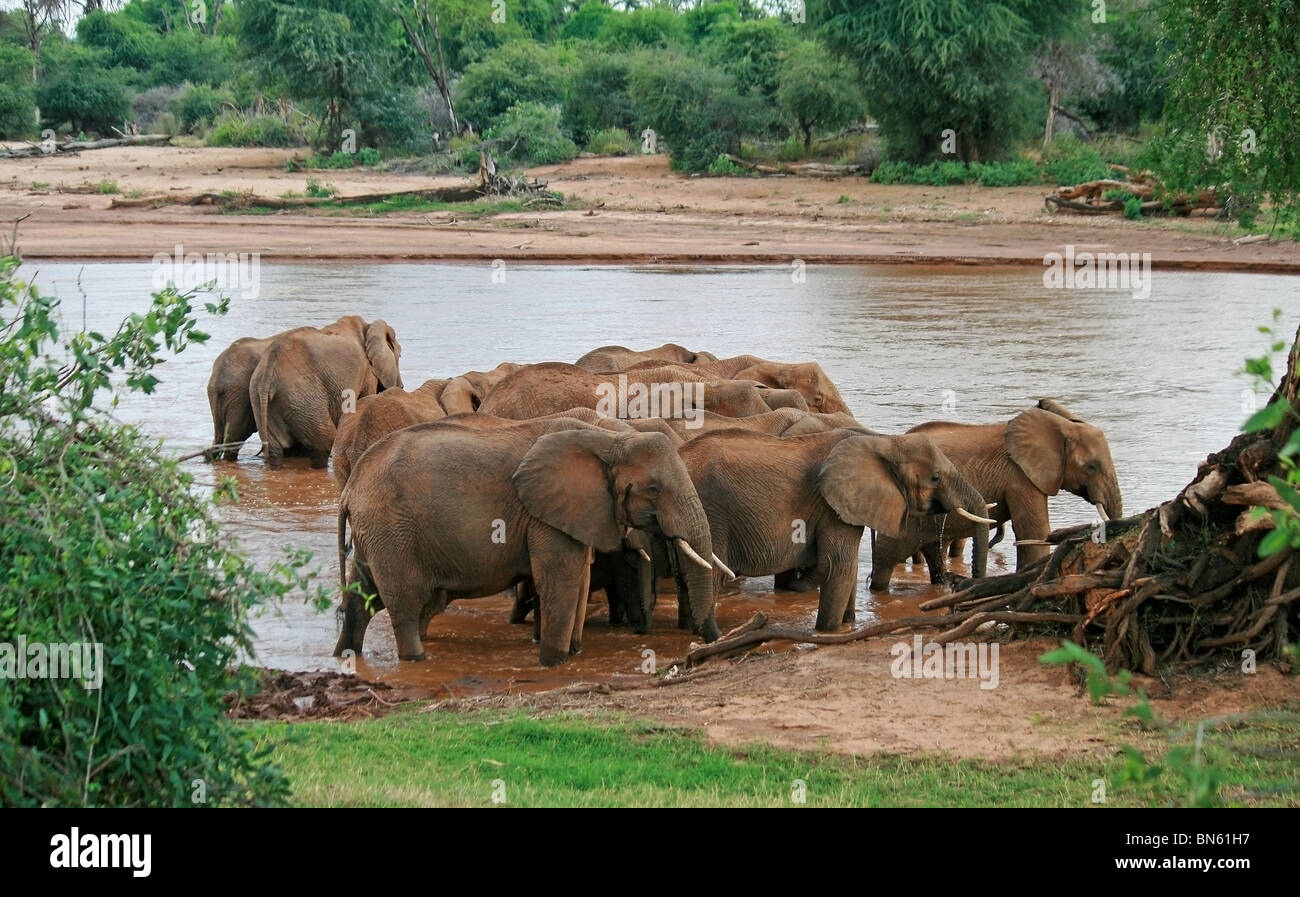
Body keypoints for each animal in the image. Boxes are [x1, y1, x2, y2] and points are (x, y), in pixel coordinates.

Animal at [335, 416, 722, 660]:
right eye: (654, 489)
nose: (705, 641)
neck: (608, 439)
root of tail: (351, 487)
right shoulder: (545, 513)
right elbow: (560, 581)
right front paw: (554, 661)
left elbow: (579, 578)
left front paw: (570, 652)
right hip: (392, 532)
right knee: (404, 602)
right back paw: (415, 659)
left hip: (377, 532)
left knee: (360, 595)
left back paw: (345, 654)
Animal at [676, 426, 987, 629]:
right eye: (935, 478)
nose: (960, 584)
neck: (883, 441)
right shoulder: (831, 507)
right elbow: (839, 566)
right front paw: (827, 632)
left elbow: (847, 568)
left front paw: (848, 623)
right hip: (712, 515)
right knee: (711, 576)